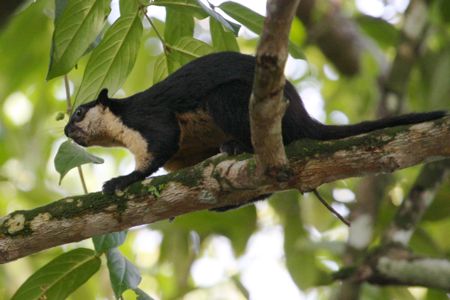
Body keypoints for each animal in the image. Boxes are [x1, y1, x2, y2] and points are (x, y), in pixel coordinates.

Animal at [63, 51, 446, 195]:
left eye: (79, 113)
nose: (66, 131)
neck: (120, 122)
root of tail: (303, 116)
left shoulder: (148, 119)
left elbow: (162, 143)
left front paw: (122, 180)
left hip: (227, 100)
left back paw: (238, 144)